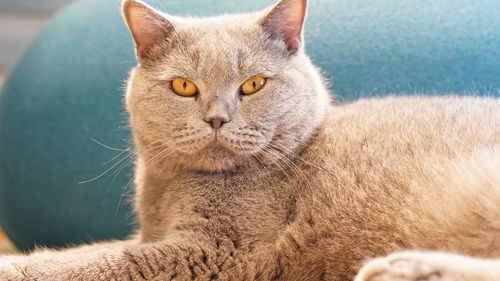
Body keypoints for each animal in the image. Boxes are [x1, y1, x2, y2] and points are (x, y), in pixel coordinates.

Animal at [0, 0, 500, 278]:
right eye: (184, 86)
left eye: (254, 84)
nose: (217, 119)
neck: (168, 191)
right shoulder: (149, 238)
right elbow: (91, 251)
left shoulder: (217, 252)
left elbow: (94, 264)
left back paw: (404, 271)